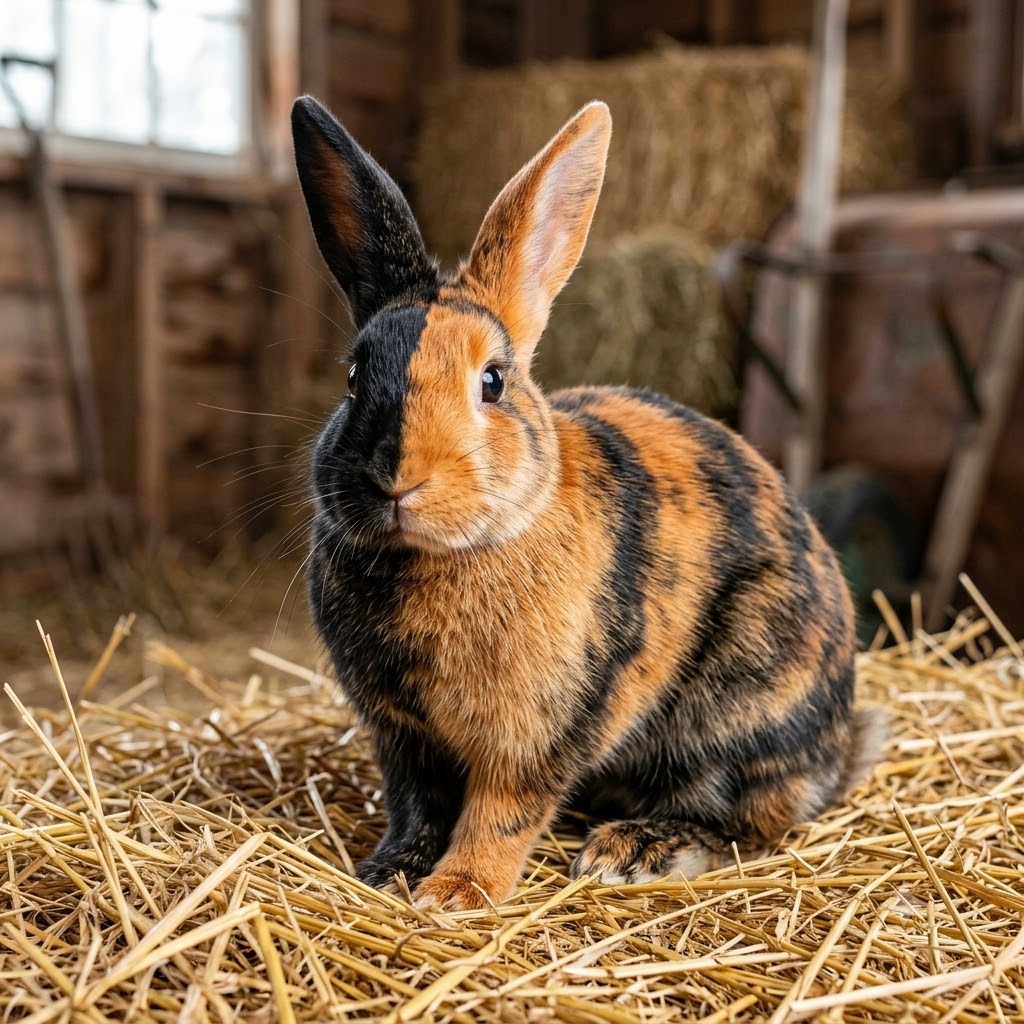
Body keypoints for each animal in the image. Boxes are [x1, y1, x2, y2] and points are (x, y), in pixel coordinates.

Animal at [291, 95, 885, 912]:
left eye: (493, 381)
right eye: (353, 377)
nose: (396, 479)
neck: (442, 553)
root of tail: (838, 746)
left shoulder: (541, 732)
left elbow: (501, 815)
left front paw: (458, 893)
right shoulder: (403, 738)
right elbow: (418, 808)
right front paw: (390, 874)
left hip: (736, 711)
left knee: (742, 820)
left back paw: (631, 850)